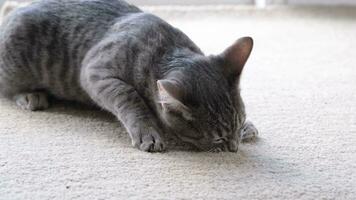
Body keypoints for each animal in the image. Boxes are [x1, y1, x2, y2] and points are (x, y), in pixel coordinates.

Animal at [0, 0, 258, 152]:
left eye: (239, 122)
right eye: (218, 138)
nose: (234, 148)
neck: (166, 47)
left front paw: (248, 128)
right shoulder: (95, 70)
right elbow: (128, 94)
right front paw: (148, 130)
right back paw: (30, 95)